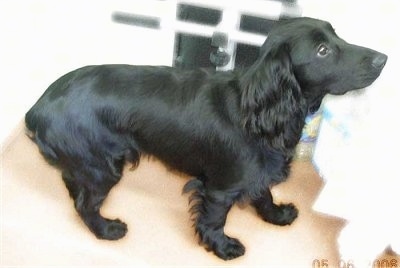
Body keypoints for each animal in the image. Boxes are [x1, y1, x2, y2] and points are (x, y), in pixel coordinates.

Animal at [25, 17, 388, 260]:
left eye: (337, 35)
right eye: (323, 50)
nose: (383, 58)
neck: (256, 110)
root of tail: (37, 108)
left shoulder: (257, 171)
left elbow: (264, 194)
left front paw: (277, 215)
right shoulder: (220, 187)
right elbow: (214, 220)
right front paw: (224, 248)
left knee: (74, 185)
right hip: (102, 167)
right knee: (85, 203)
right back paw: (107, 230)